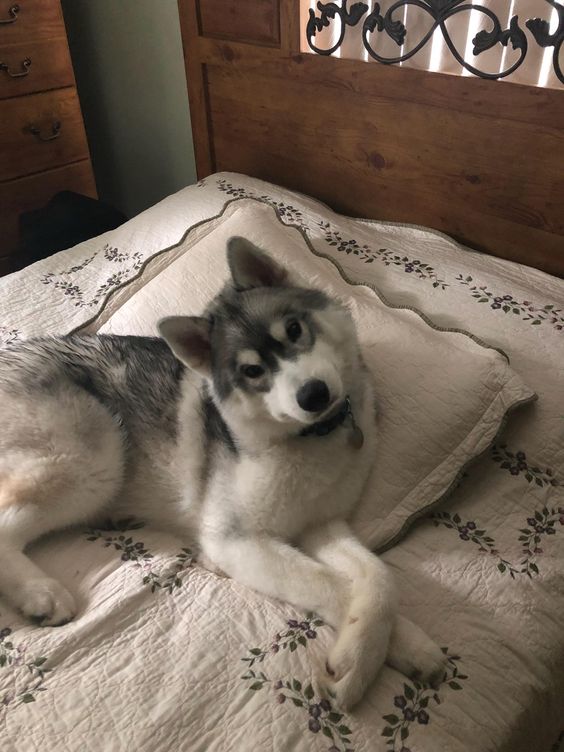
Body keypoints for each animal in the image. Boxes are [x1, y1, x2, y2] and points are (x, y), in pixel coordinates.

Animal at [0, 239, 446, 712]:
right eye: (252, 371)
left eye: (294, 329)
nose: (314, 395)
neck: (307, 439)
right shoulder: (235, 540)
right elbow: (330, 585)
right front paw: (358, 664)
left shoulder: (322, 524)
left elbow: (380, 578)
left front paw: (406, 644)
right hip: (97, 461)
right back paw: (39, 592)